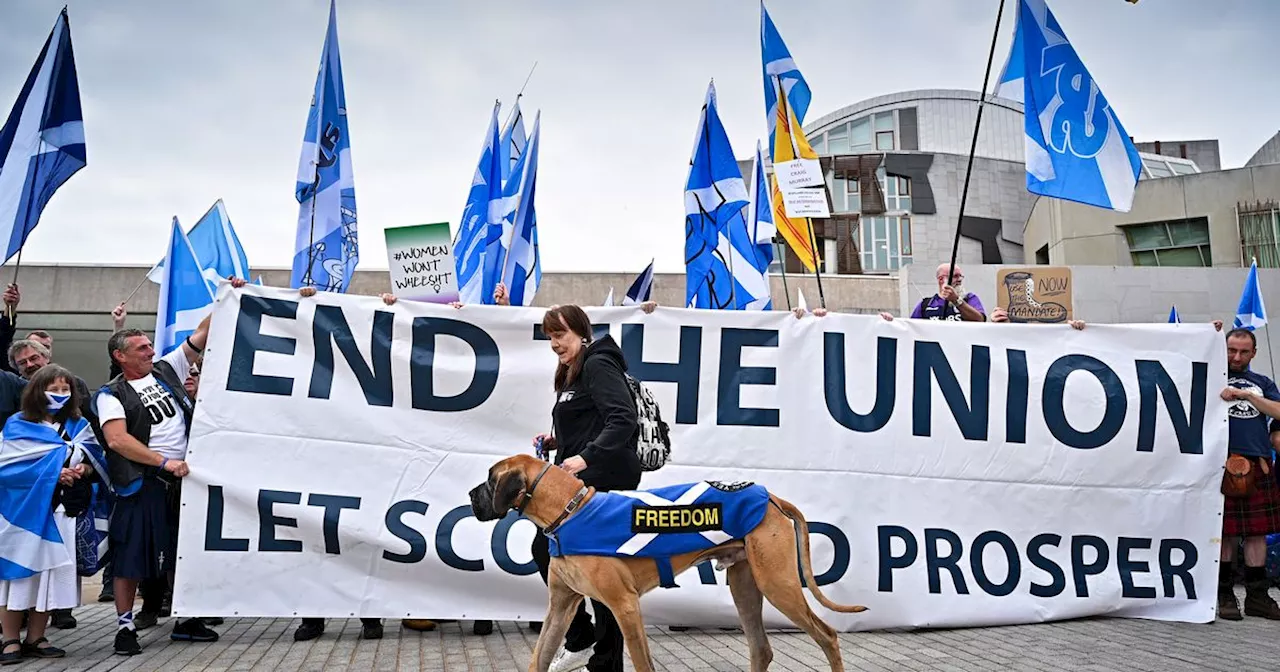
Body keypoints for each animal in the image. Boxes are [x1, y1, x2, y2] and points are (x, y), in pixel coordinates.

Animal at [465, 453, 865, 665]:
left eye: (490, 480)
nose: (470, 495)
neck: (569, 512)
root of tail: (770, 497)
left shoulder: (625, 606)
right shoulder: (560, 609)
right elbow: (539, 657)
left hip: (778, 584)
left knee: (827, 636)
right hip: (745, 586)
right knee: (762, 649)